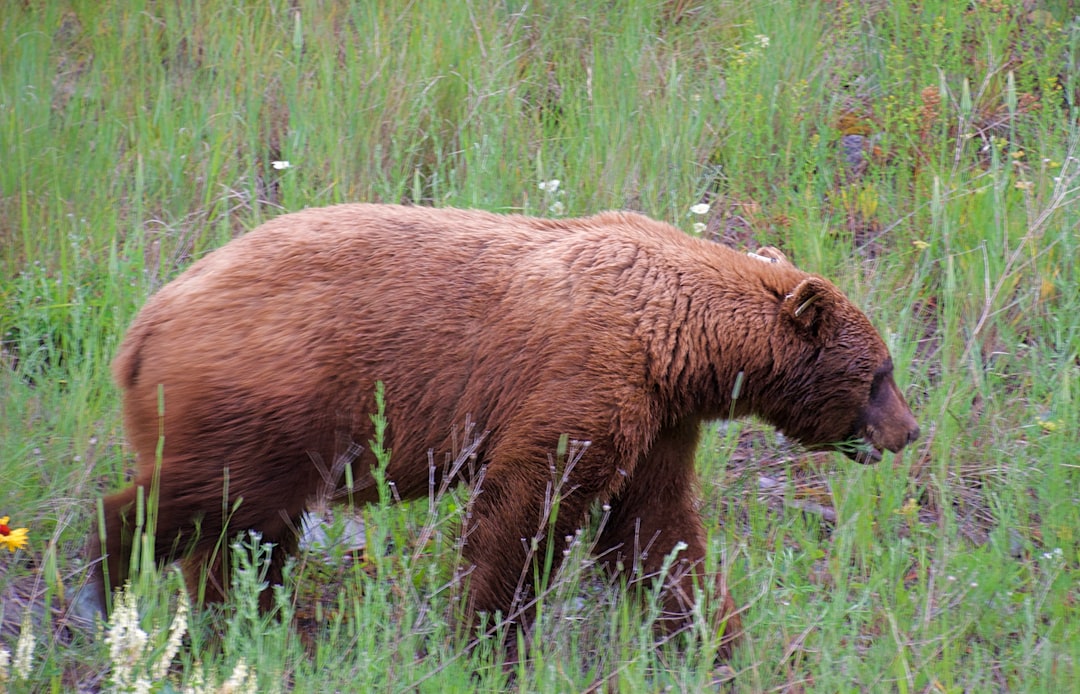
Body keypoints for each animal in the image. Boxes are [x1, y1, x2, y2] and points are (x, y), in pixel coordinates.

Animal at [85, 203, 919, 655]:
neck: (679, 342)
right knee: (203, 505)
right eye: (880, 372)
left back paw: (244, 621)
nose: (909, 431)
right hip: (266, 400)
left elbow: (656, 535)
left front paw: (710, 643)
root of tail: (140, 330)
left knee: (244, 537)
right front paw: (488, 640)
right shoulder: (585, 376)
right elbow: (526, 513)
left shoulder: (661, 419)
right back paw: (107, 589)